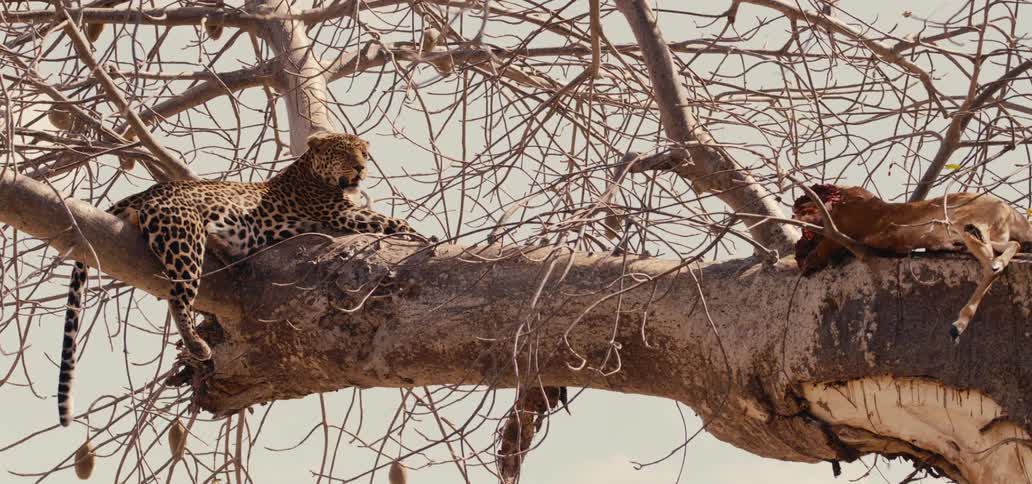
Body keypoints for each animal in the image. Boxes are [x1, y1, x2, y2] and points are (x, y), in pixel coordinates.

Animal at [59, 132, 420, 427]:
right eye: (344, 153)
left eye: (364, 153)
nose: (360, 168)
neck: (309, 171)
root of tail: (151, 190)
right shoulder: (341, 214)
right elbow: (395, 221)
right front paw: (422, 236)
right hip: (185, 236)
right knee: (178, 295)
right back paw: (198, 344)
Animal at [792, 184, 1032, 344]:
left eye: (803, 205)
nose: (795, 212)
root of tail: (1016, 216)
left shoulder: (839, 230)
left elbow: (820, 253)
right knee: (1010, 245)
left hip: (963, 218)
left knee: (991, 256)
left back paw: (961, 322)